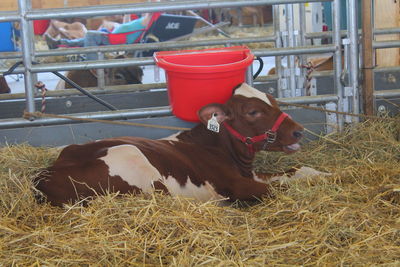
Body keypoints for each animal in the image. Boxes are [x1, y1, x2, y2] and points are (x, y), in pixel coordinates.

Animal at [35, 84, 304, 207]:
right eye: (253, 111)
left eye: (273, 100)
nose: (298, 130)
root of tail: (45, 176)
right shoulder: (235, 184)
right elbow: (278, 189)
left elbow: (299, 171)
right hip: (134, 158)